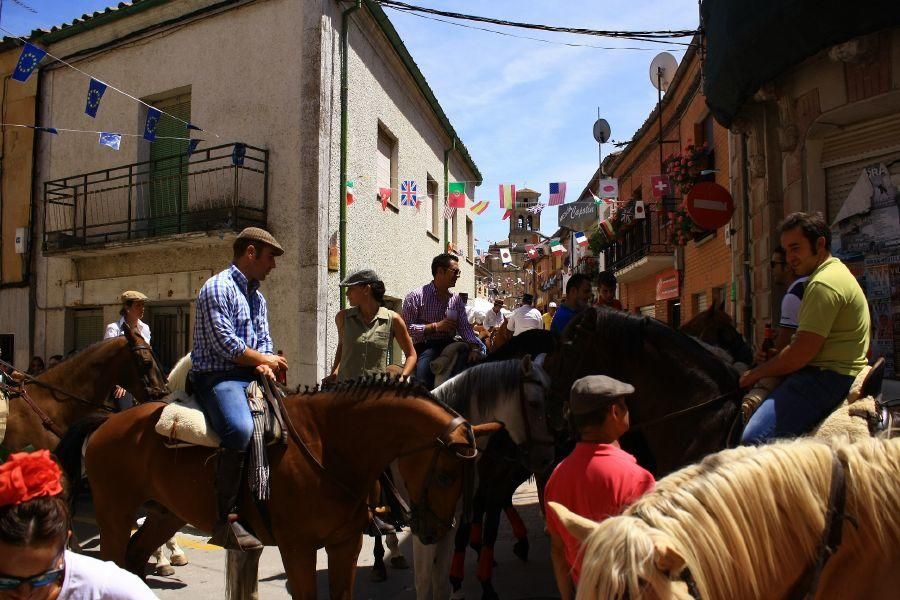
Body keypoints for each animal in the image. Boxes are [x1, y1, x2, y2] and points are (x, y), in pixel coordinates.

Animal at [82, 380, 500, 600]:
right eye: (445, 475)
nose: (434, 532)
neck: (328, 446)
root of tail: (105, 424)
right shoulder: (297, 548)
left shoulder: (344, 545)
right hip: (115, 513)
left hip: (164, 515)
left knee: (135, 559)